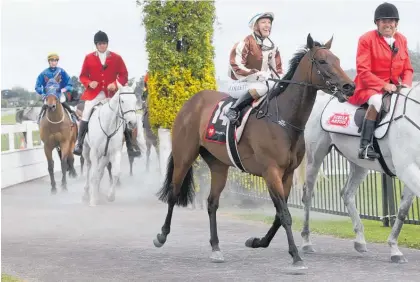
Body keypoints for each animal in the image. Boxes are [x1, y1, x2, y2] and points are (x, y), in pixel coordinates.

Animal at [153, 34, 356, 268]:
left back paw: (216, 248)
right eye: (323, 61)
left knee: (212, 203)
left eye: (337, 60)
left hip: (219, 165)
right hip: (184, 156)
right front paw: (296, 257)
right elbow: (284, 214)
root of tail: (191, 101)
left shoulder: (287, 174)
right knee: (173, 193)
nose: (349, 86)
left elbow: (279, 215)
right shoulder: (271, 172)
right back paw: (161, 236)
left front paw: (257, 241)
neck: (282, 119)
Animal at [296, 82, 420, 264]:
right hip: (315, 157)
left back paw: (360, 241)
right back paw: (306, 242)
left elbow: (403, 211)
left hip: (359, 164)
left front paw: (394, 248)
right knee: (308, 195)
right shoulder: (408, 169)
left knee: (347, 194)